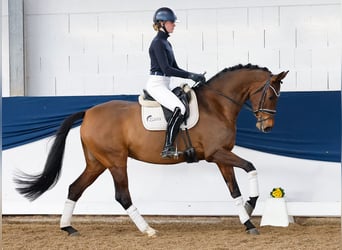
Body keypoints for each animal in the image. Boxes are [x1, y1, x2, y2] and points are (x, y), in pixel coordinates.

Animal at [15, 63, 288, 236]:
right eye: (271, 96)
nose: (267, 127)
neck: (217, 105)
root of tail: (89, 112)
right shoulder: (216, 154)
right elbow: (250, 167)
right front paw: (252, 206)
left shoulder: (221, 157)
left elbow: (234, 190)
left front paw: (247, 219)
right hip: (115, 161)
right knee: (122, 196)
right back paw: (148, 229)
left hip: (97, 163)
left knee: (75, 188)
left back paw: (68, 228)